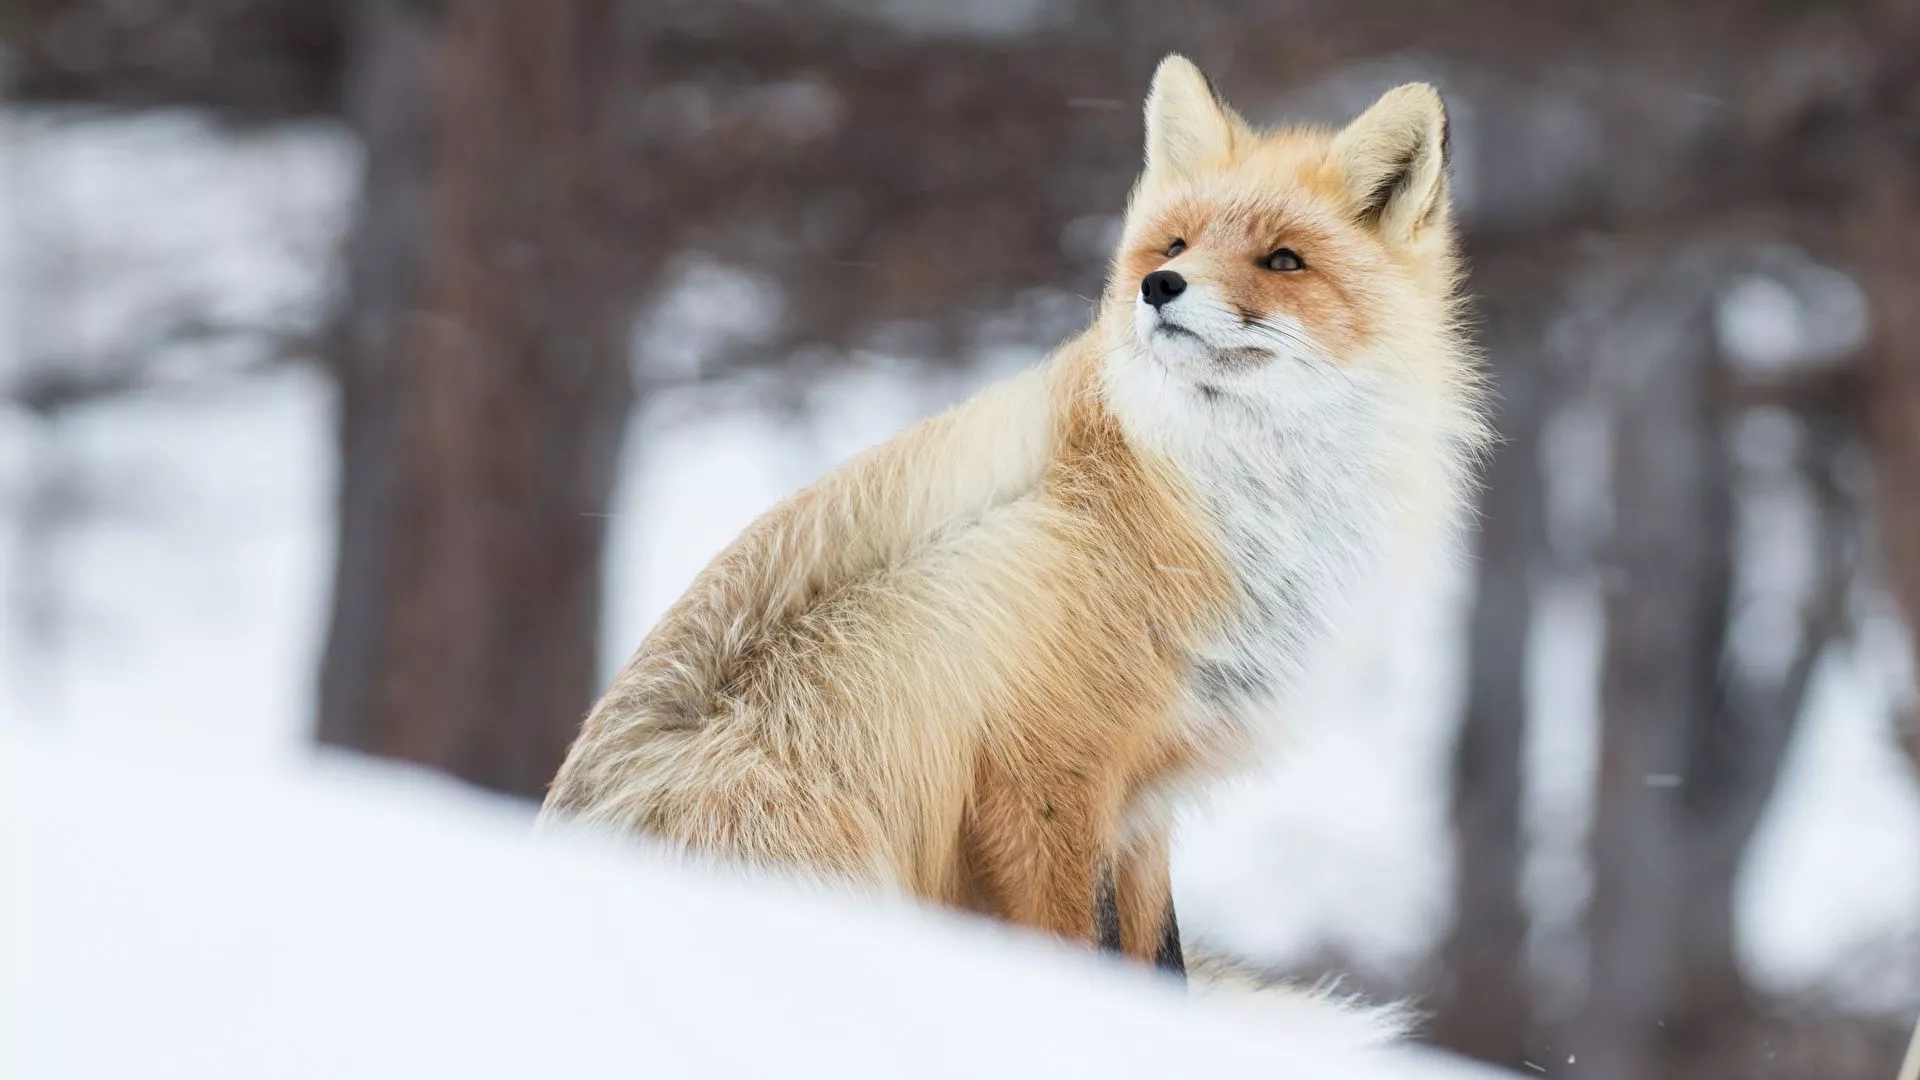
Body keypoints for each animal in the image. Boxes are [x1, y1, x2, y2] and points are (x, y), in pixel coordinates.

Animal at [542, 55, 1487, 975]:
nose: (1160, 285)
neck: (1200, 504)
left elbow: (1161, 960)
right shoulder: (1042, 781)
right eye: (1177, 244)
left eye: (1284, 261)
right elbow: (1085, 952)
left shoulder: (1143, 799)